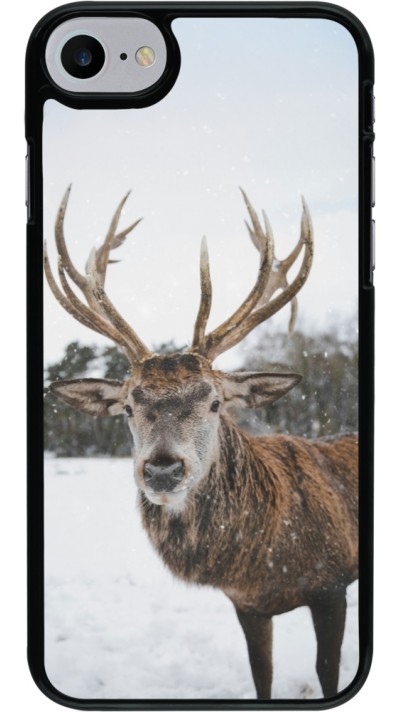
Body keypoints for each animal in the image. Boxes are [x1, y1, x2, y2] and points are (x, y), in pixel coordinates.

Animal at [44, 186, 358, 700]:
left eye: (214, 402)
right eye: (128, 407)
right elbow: (262, 676)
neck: (264, 562)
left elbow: (327, 672)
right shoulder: (247, 605)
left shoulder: (332, 585)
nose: (162, 469)